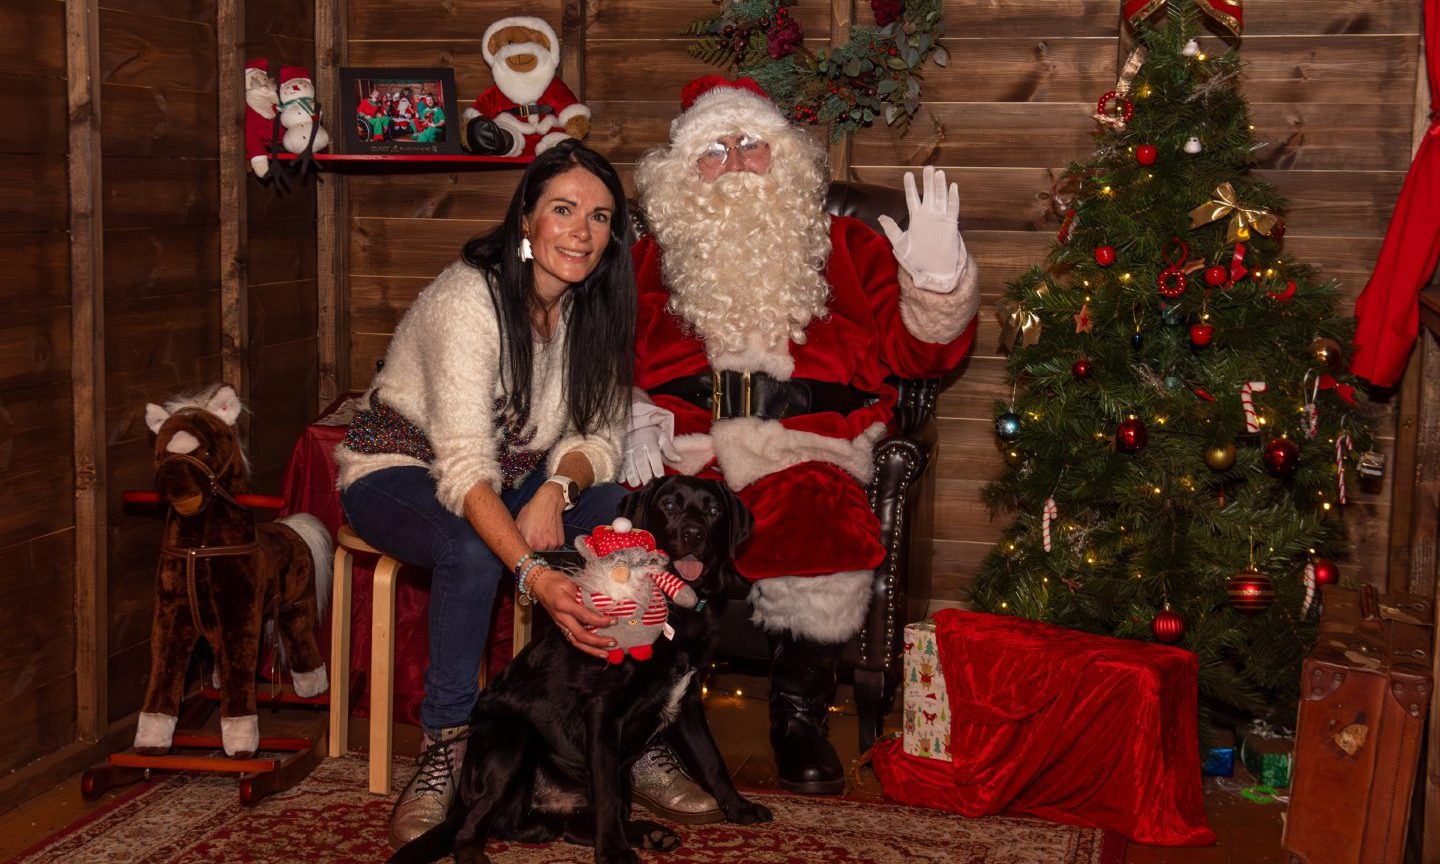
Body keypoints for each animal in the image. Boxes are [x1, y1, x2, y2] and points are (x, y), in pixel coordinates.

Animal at [391, 475, 777, 864]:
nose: (694, 533)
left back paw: (645, 833)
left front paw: (739, 807)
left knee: (560, 826)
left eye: (713, 511)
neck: (676, 612)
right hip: (514, 739)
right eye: (669, 505)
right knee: (474, 828)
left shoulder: (687, 700)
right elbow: (606, 793)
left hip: (610, 777)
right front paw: (614, 852)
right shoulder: (602, 710)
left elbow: (712, 761)